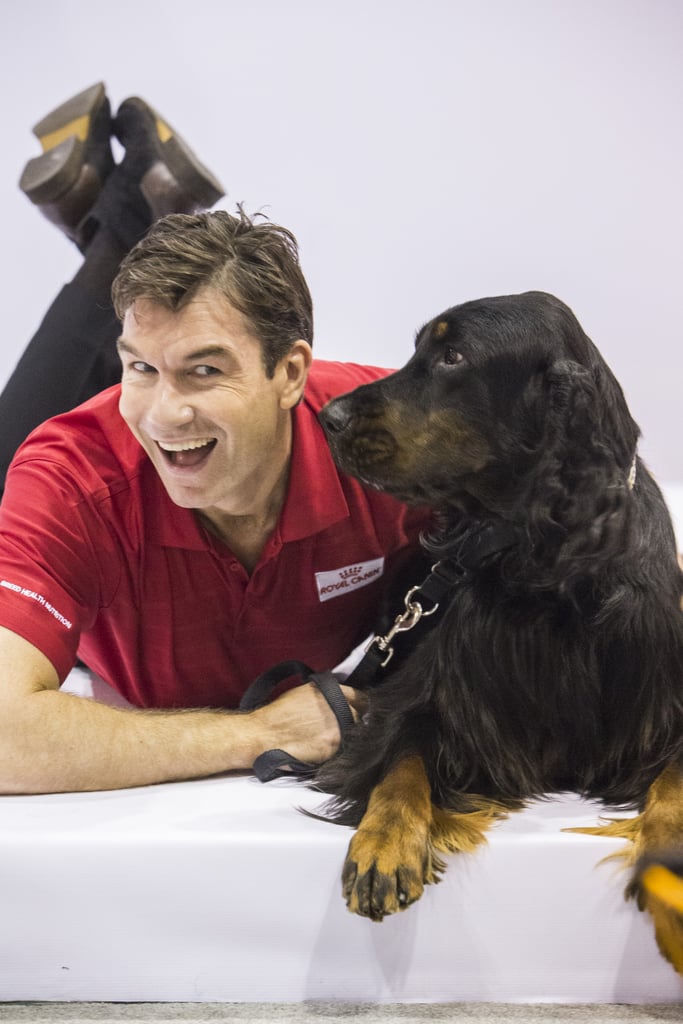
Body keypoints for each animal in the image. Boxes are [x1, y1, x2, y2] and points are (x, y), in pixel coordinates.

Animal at [317, 288, 683, 974]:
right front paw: (384, 844)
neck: (547, 565)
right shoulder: (436, 694)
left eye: (453, 356)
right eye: (418, 349)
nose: (329, 416)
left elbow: (674, 777)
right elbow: (402, 754)